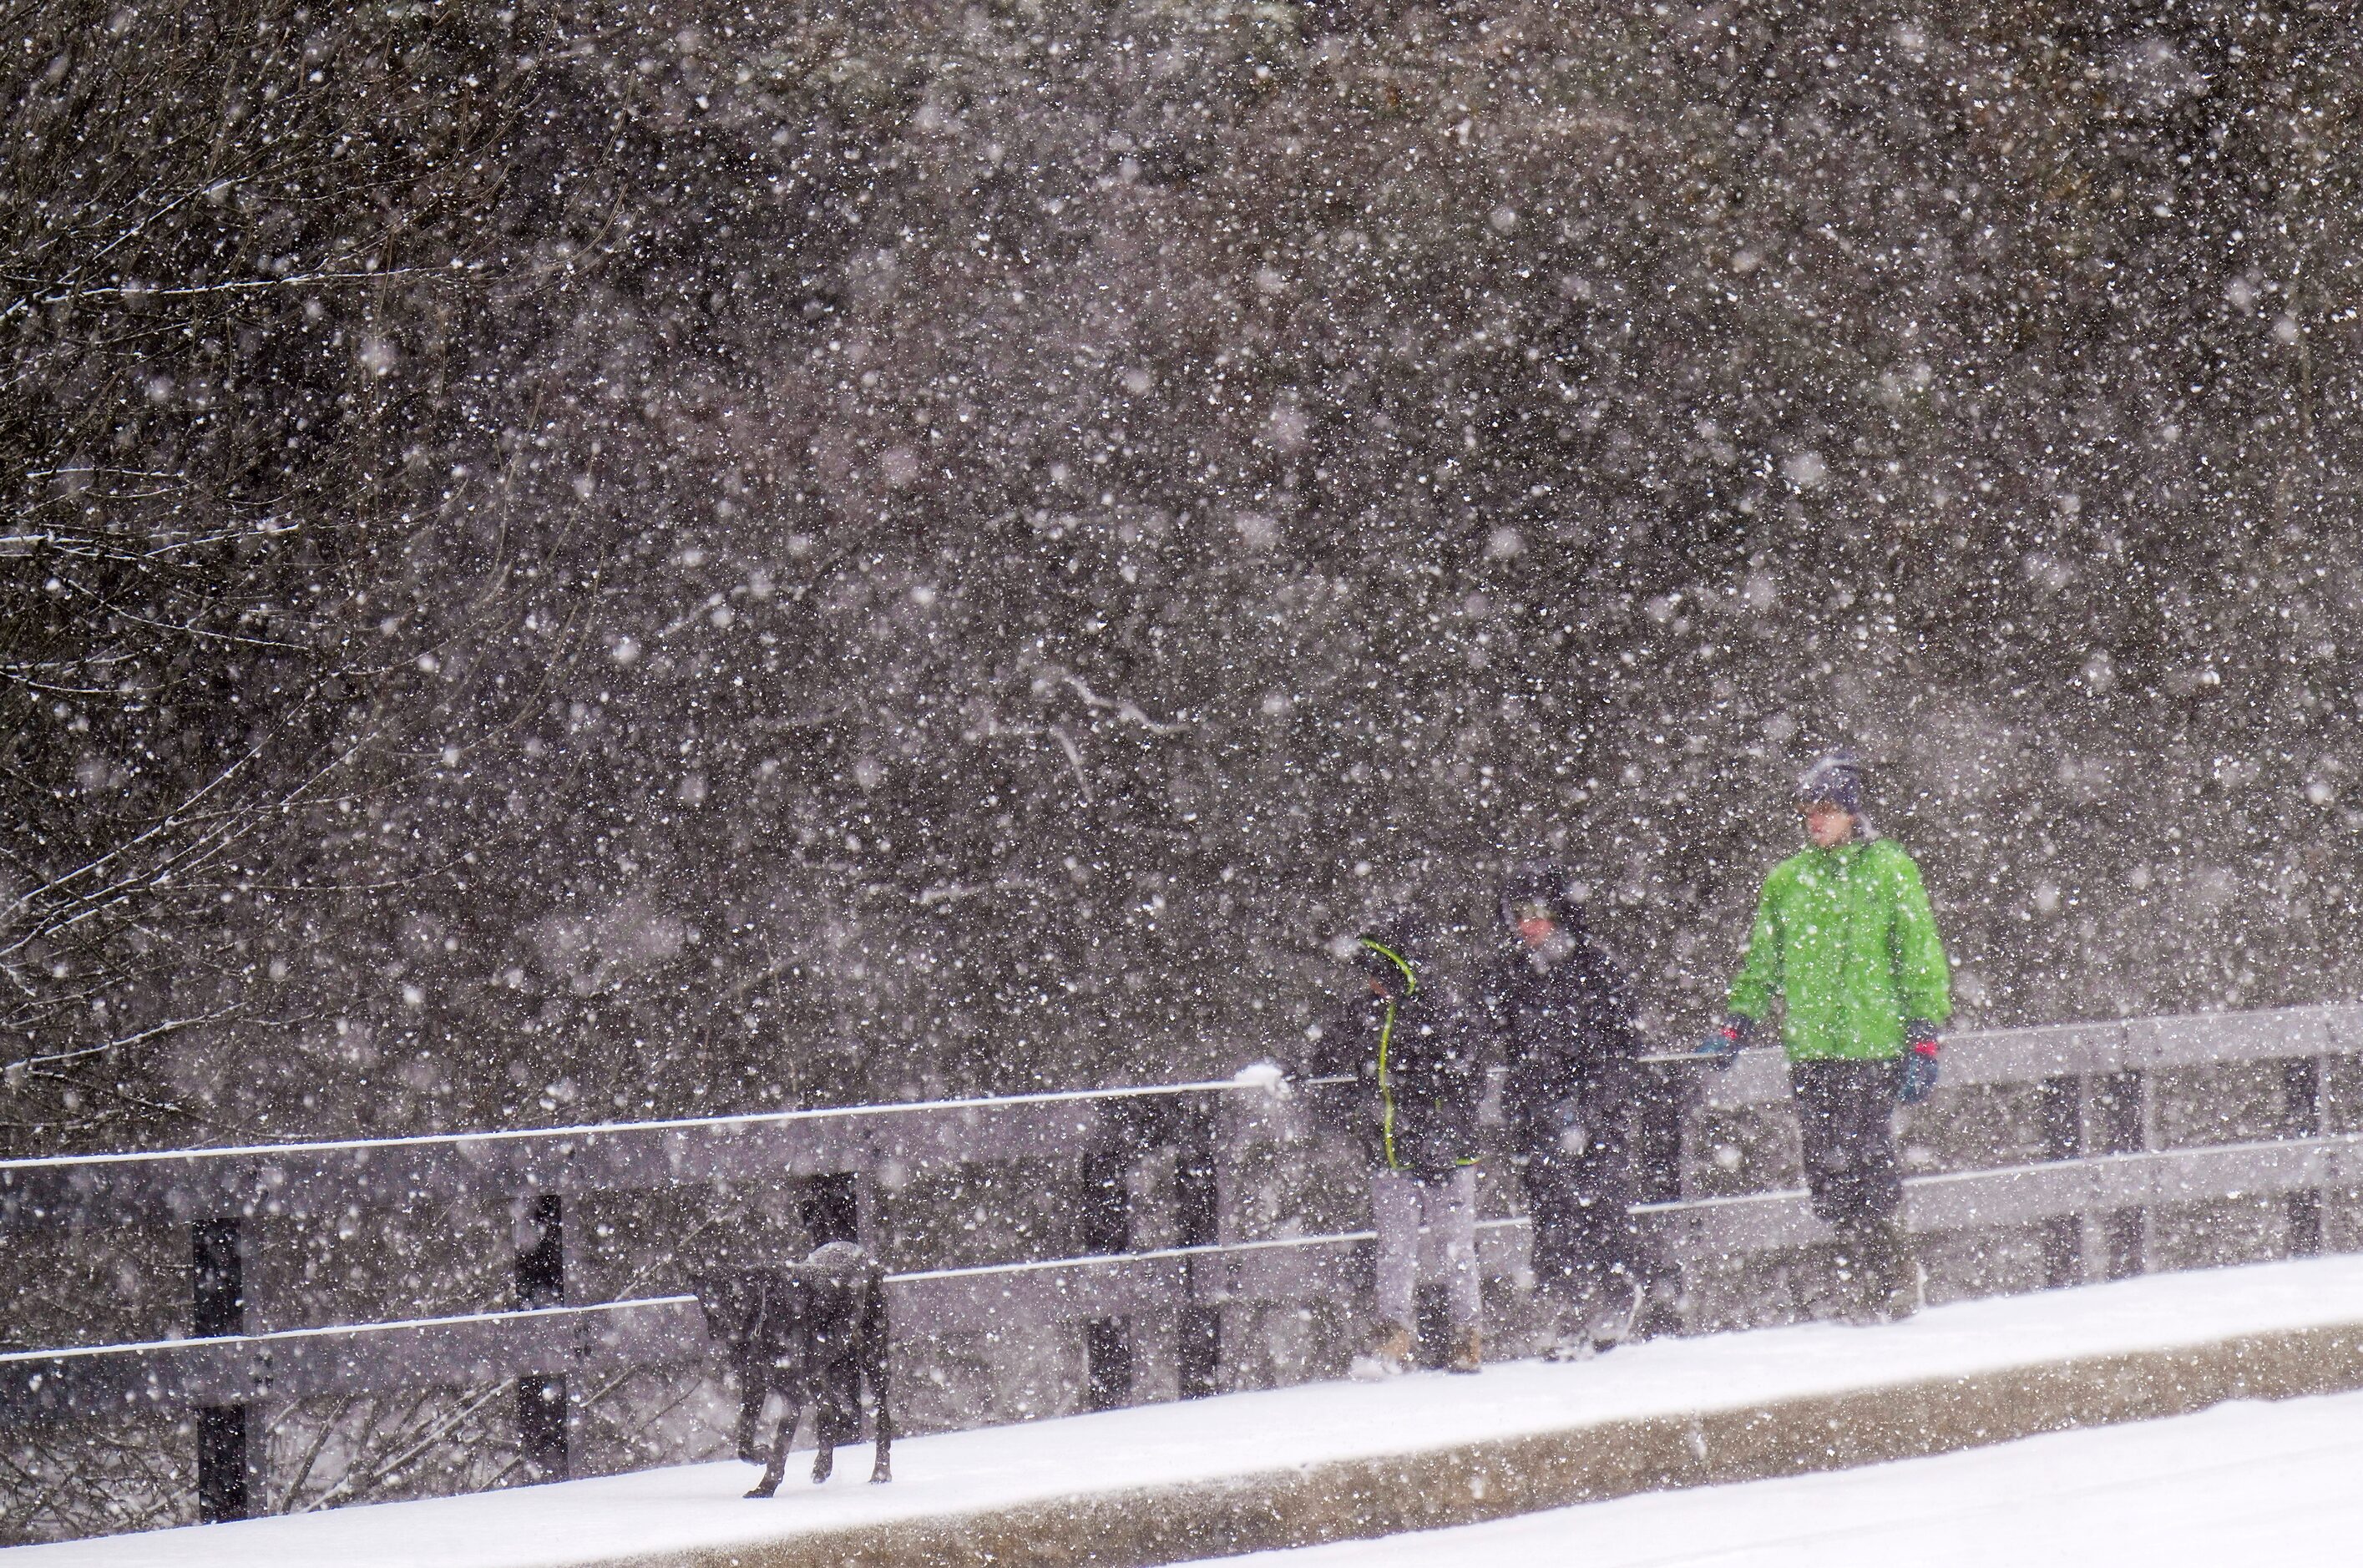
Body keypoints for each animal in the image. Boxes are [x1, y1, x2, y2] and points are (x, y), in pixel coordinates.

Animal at [695, 1237, 898, 1492]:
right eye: (706, 1299)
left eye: (734, 1295)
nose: (718, 1327)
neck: (763, 1316)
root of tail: (859, 1251)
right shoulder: (753, 1384)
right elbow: (744, 1443)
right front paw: (762, 1453)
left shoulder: (791, 1393)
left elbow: (780, 1448)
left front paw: (765, 1488)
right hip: (818, 1371)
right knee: (828, 1411)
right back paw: (823, 1466)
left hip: (874, 1357)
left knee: (882, 1418)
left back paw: (881, 1472)